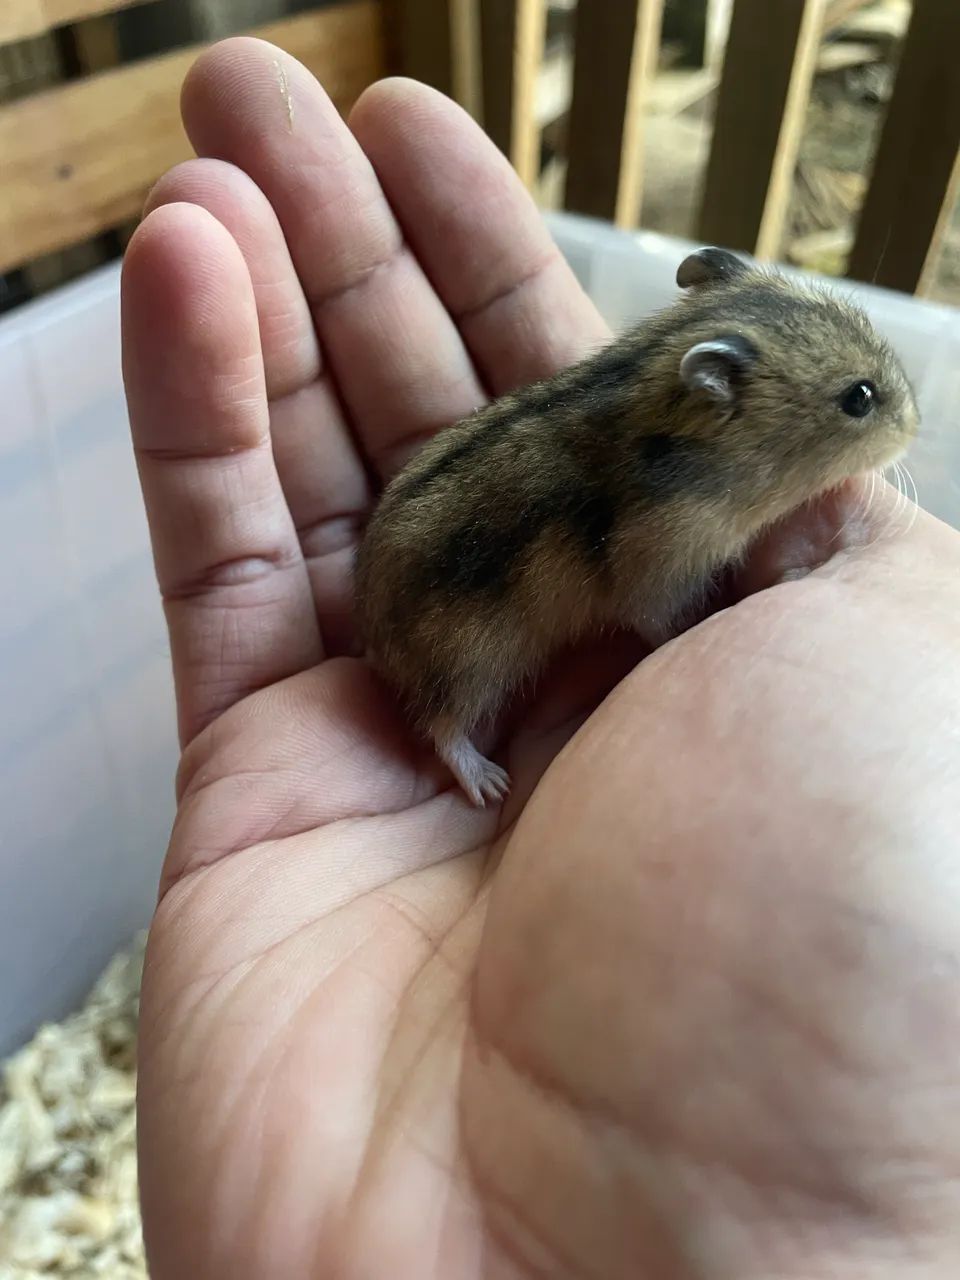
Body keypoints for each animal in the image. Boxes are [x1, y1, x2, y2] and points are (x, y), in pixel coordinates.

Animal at [354, 246, 919, 806]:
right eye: (860, 397)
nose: (916, 426)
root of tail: (371, 636)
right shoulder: (660, 569)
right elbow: (665, 621)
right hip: (469, 660)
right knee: (441, 723)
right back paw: (489, 784)